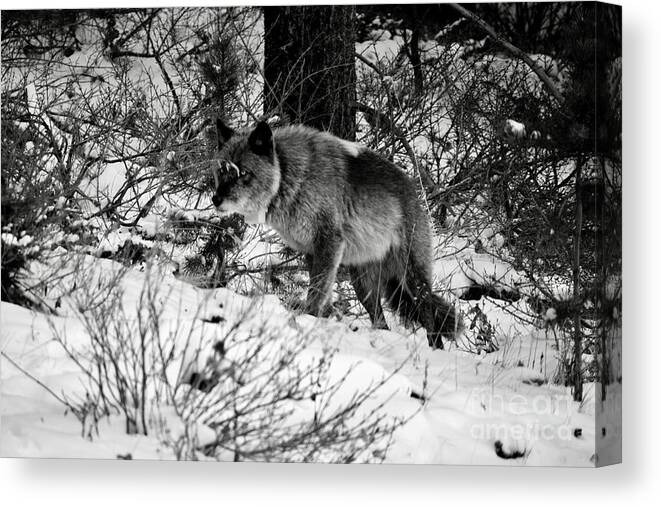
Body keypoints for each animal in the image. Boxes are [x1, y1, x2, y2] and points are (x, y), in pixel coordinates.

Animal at [211, 120, 458, 350]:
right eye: (221, 170)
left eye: (243, 172)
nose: (216, 199)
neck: (292, 175)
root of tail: (415, 193)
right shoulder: (312, 251)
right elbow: (321, 291)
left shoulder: (329, 242)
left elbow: (317, 292)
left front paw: (307, 319)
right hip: (363, 286)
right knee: (381, 320)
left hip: (412, 279)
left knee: (428, 314)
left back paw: (435, 349)